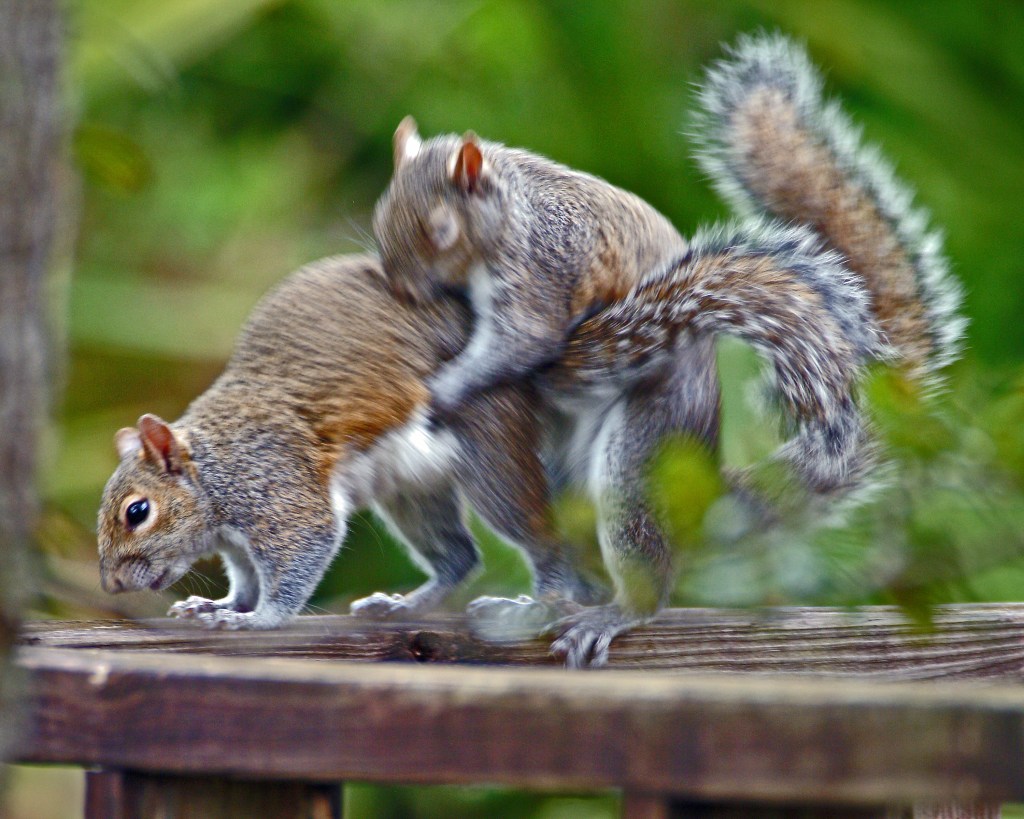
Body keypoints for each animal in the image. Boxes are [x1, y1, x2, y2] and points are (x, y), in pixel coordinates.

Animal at [371, 32, 963, 666]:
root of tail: (695, 504)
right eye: (380, 219)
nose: (402, 290)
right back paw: (535, 607)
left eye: (441, 230)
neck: (510, 210)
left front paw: (444, 388)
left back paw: (610, 615)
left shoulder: (541, 267)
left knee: (641, 573)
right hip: (564, 465)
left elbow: (522, 338)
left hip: (643, 450)